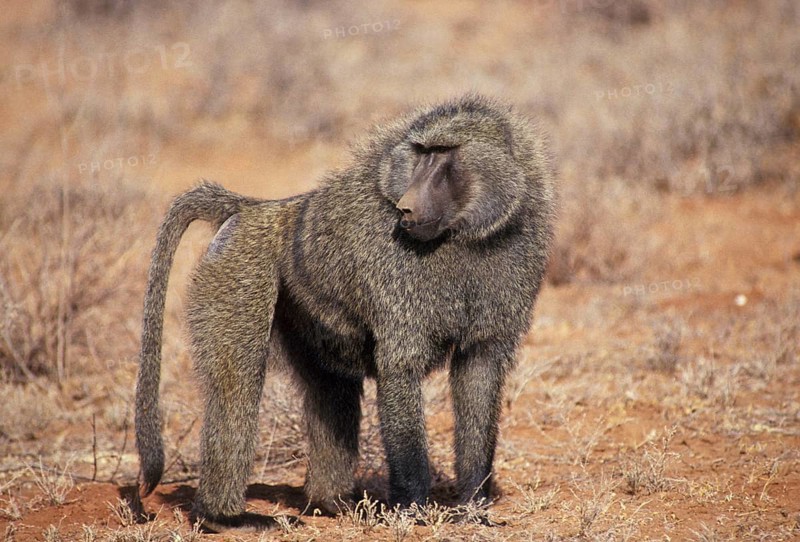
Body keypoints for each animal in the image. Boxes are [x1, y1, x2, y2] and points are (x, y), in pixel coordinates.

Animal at [134, 94, 556, 532]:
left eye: (443, 154)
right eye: (421, 153)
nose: (406, 208)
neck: (465, 238)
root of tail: (258, 209)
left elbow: (480, 371)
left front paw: (473, 507)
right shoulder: (395, 271)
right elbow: (400, 368)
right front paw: (412, 510)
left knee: (330, 385)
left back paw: (328, 503)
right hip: (239, 266)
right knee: (236, 382)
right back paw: (222, 516)